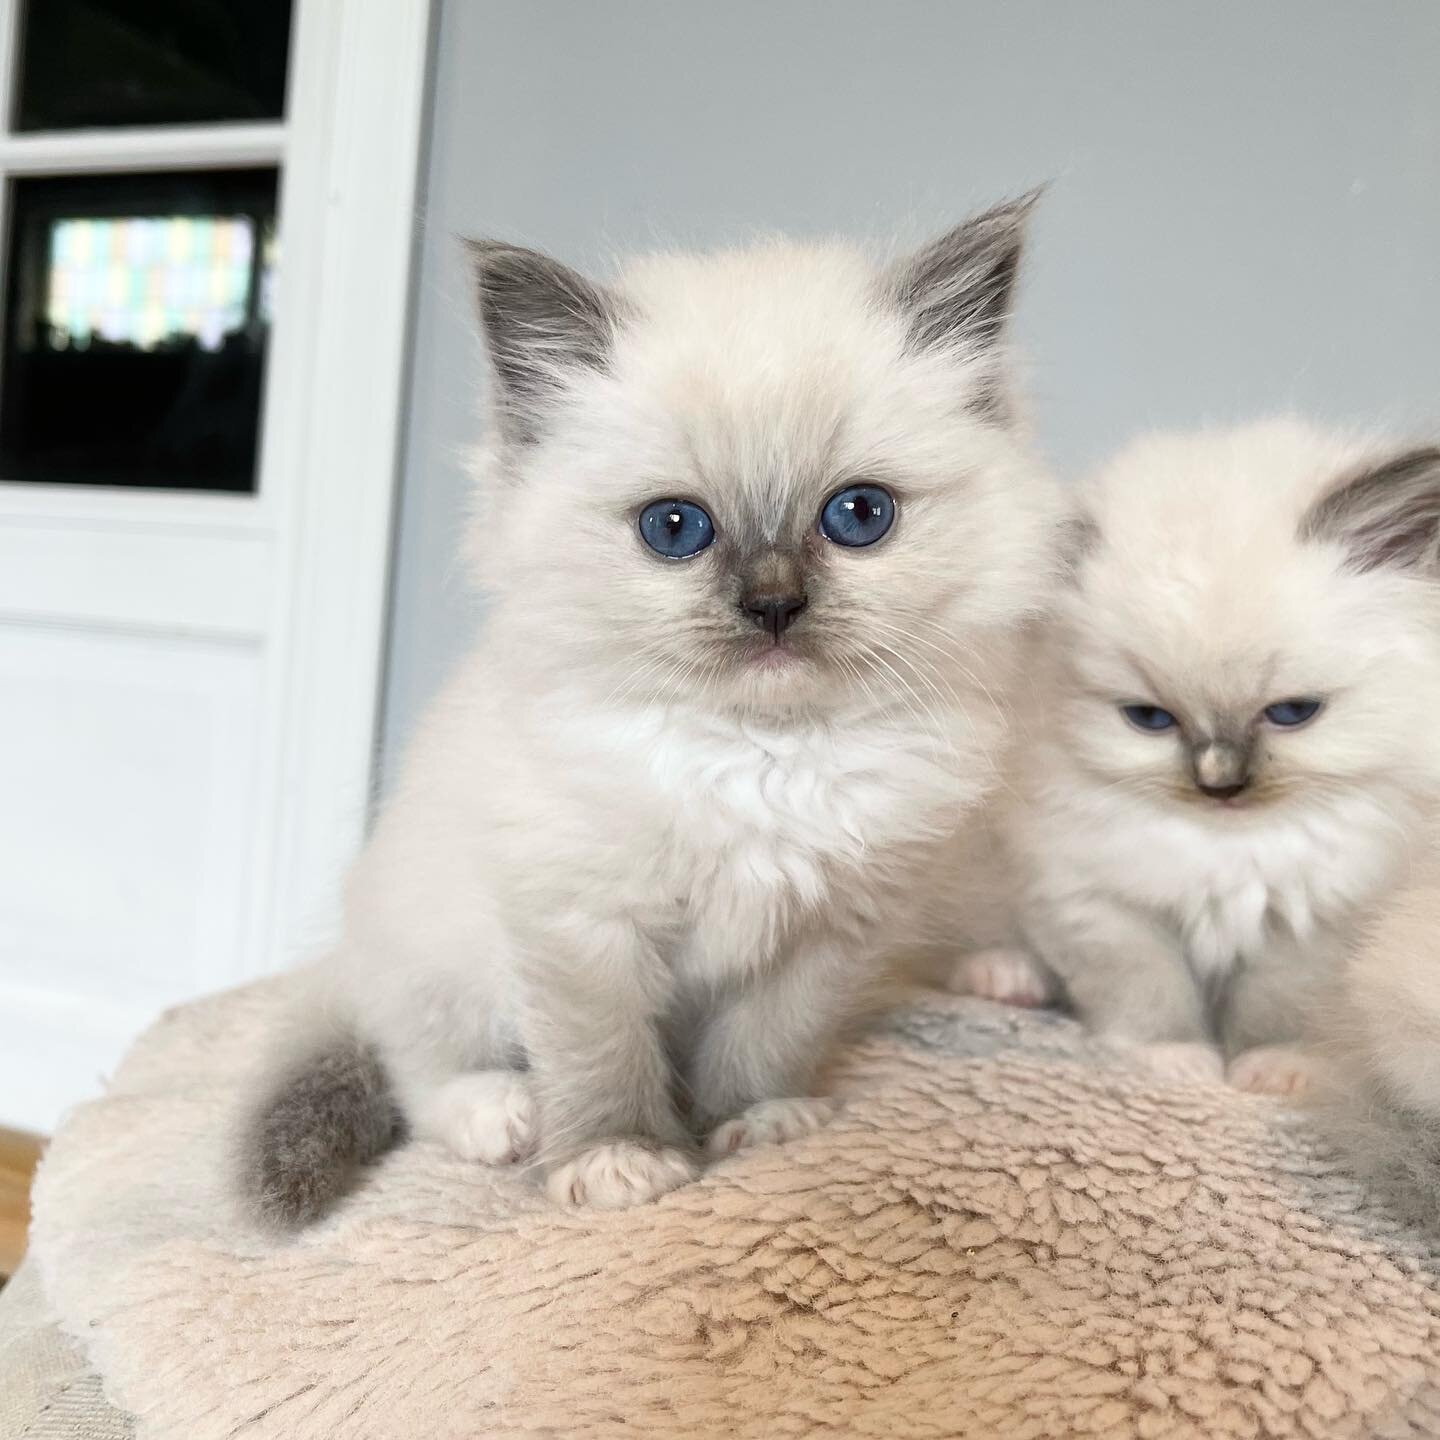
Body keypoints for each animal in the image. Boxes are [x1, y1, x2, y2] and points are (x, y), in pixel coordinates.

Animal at [239, 197, 1071, 1221]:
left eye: (859, 516)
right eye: (675, 529)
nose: (773, 605)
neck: (762, 756)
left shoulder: (829, 930)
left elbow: (763, 1043)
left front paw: (754, 1126)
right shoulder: (580, 919)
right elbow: (600, 1056)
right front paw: (620, 1162)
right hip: (430, 941)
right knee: (419, 1065)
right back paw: (502, 1117)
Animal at [938, 417, 1440, 1088]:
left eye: (1292, 713)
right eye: (1150, 719)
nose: (1219, 784)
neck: (1227, 849)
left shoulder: (1319, 921)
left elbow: (1282, 1008)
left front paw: (1274, 1071)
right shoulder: (1095, 901)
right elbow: (1149, 993)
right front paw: (1176, 1064)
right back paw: (1004, 976)